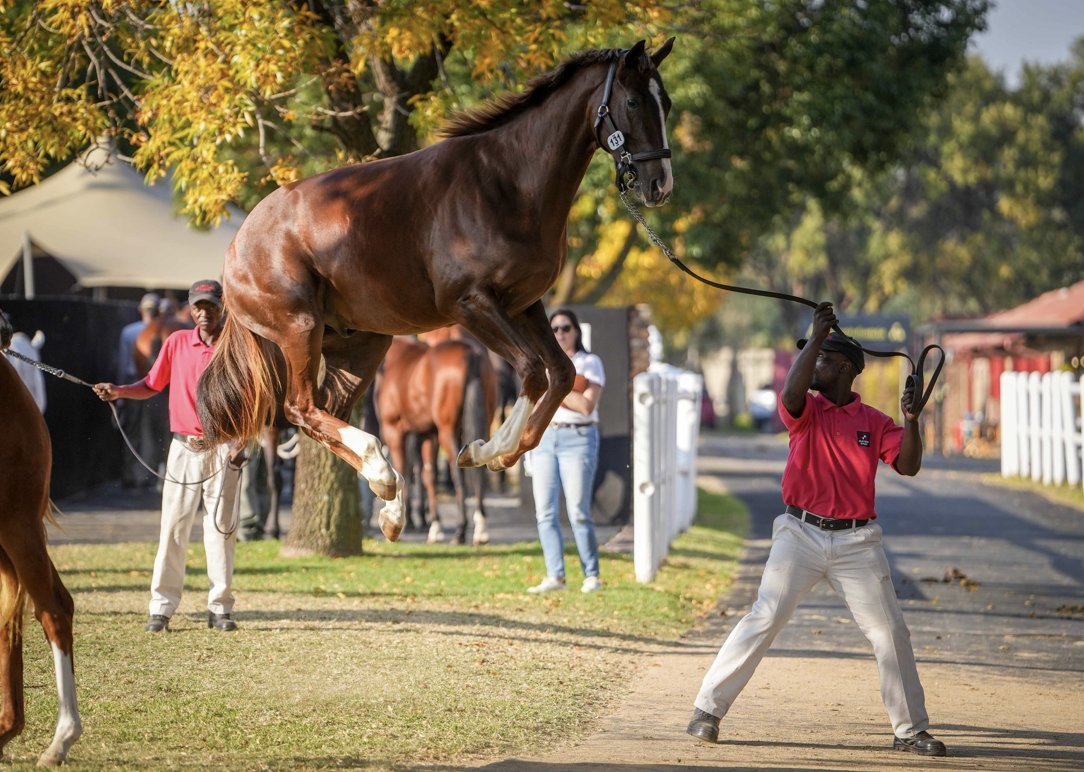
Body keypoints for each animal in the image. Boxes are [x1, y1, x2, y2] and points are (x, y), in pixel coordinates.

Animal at [375, 336, 496, 542]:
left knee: (458, 474)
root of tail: (470, 353)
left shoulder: (395, 432)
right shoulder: (429, 435)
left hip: (448, 431)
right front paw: (435, 526)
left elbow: (403, 471)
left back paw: (461, 530)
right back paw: (480, 528)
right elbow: (428, 474)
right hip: (483, 424)